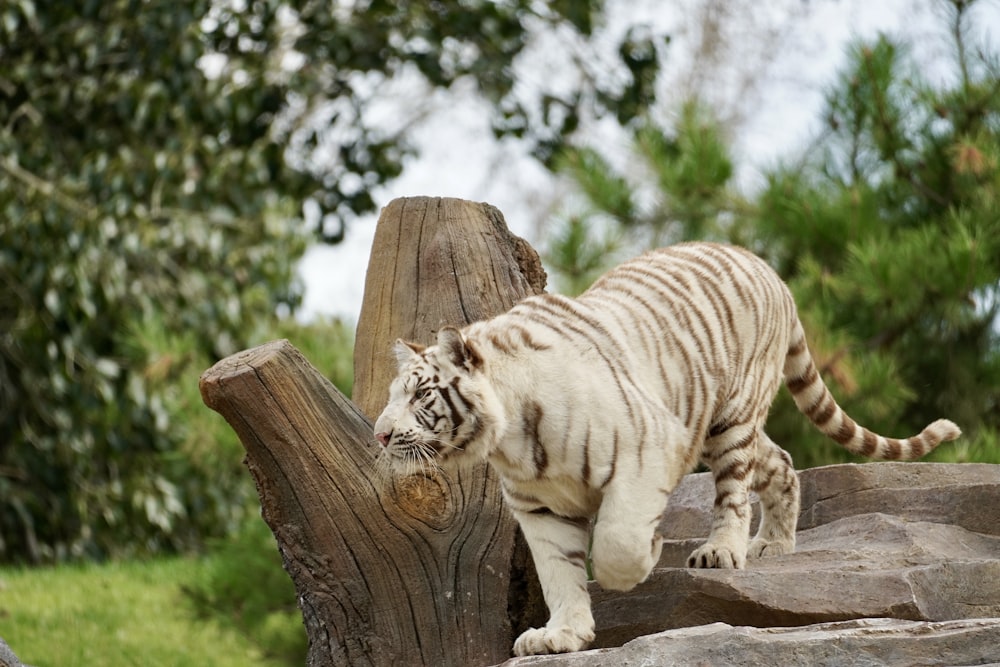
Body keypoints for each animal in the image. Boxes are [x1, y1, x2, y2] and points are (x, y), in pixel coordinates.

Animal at [374, 241, 960, 656]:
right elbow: (558, 573)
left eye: (422, 394)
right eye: (393, 394)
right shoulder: (537, 507)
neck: (509, 440)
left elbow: (616, 542)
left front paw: (646, 558)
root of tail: (767, 268)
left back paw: (723, 550)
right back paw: (774, 544)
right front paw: (562, 634)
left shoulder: (647, 448)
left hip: (729, 420)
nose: (379, 433)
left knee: (734, 492)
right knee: (782, 463)